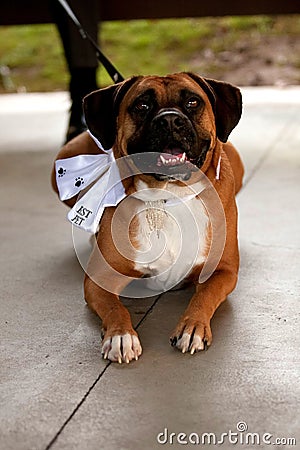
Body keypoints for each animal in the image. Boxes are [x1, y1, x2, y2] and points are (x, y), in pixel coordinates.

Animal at [51, 73, 244, 362]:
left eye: (192, 102)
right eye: (142, 105)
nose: (170, 119)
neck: (167, 196)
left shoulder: (223, 271)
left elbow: (204, 296)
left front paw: (192, 327)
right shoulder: (100, 279)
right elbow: (115, 308)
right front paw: (121, 336)